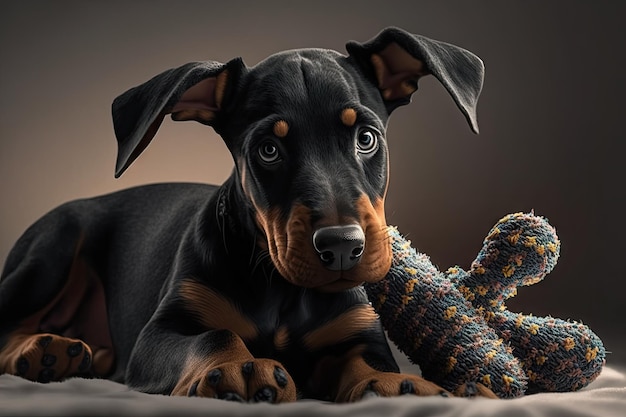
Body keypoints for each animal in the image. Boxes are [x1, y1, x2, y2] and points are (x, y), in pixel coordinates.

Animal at [0, 27, 486, 402]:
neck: (281, 287)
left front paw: (398, 384)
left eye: (366, 138)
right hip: (53, 250)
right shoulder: (155, 336)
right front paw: (241, 368)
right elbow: (216, 334)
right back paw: (41, 351)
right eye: (268, 150)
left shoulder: (357, 333)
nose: (342, 248)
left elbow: (368, 364)